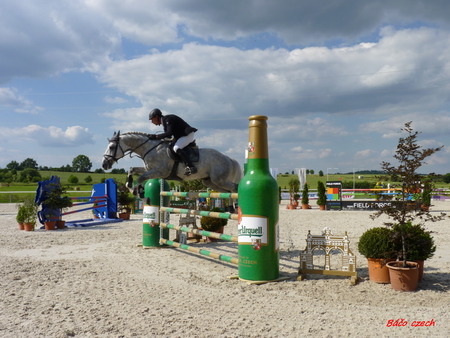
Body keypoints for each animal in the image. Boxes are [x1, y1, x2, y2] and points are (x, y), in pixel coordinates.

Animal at [102, 131, 243, 193]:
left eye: (112, 147)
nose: (104, 165)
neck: (150, 148)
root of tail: (228, 158)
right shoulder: (149, 169)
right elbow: (132, 169)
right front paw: (129, 186)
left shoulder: (159, 171)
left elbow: (141, 178)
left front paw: (139, 192)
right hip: (210, 182)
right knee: (227, 191)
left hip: (219, 179)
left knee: (235, 188)